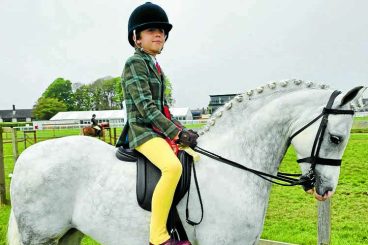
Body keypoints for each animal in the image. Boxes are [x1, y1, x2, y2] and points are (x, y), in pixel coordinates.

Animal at [7, 79, 366, 244]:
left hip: (69, 233)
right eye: (336, 138)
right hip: (38, 236)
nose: (325, 190)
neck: (232, 168)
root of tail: (26, 156)